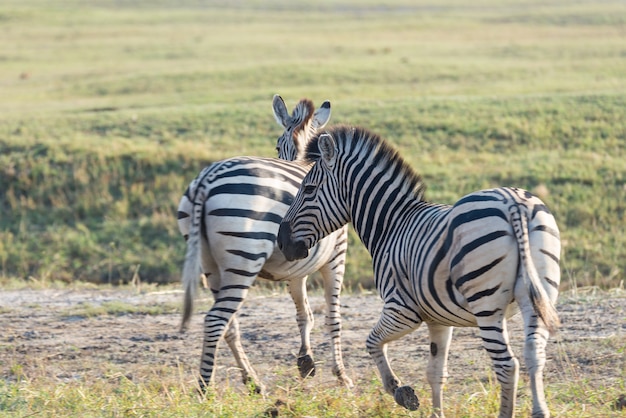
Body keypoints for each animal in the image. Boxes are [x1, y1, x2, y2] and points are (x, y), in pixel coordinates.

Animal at [177, 96, 352, 394]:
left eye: (276, 146)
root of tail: (206, 180)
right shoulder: (335, 256)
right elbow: (332, 318)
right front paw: (340, 374)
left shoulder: (296, 265)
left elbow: (304, 313)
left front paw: (306, 361)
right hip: (244, 257)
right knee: (215, 320)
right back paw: (204, 389)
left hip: (210, 264)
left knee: (229, 324)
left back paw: (252, 381)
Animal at [278, 125, 560, 418]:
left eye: (309, 189)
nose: (281, 242)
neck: (392, 225)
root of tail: (513, 203)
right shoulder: (439, 318)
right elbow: (435, 373)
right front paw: (435, 412)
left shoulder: (402, 309)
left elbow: (372, 342)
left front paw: (401, 392)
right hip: (538, 296)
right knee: (534, 355)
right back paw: (540, 411)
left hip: (486, 306)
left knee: (506, 365)